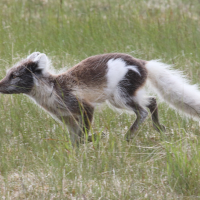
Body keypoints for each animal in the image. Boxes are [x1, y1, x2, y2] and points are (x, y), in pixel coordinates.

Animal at [0, 52, 198, 145]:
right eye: (9, 73)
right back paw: (158, 127)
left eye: (15, 76)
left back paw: (128, 136)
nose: (0, 85)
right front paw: (75, 154)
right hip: (120, 97)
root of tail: (143, 63)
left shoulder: (83, 107)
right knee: (152, 100)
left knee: (142, 111)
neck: (52, 90)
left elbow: (83, 135)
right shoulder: (66, 117)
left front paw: (98, 137)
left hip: (121, 94)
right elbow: (75, 138)